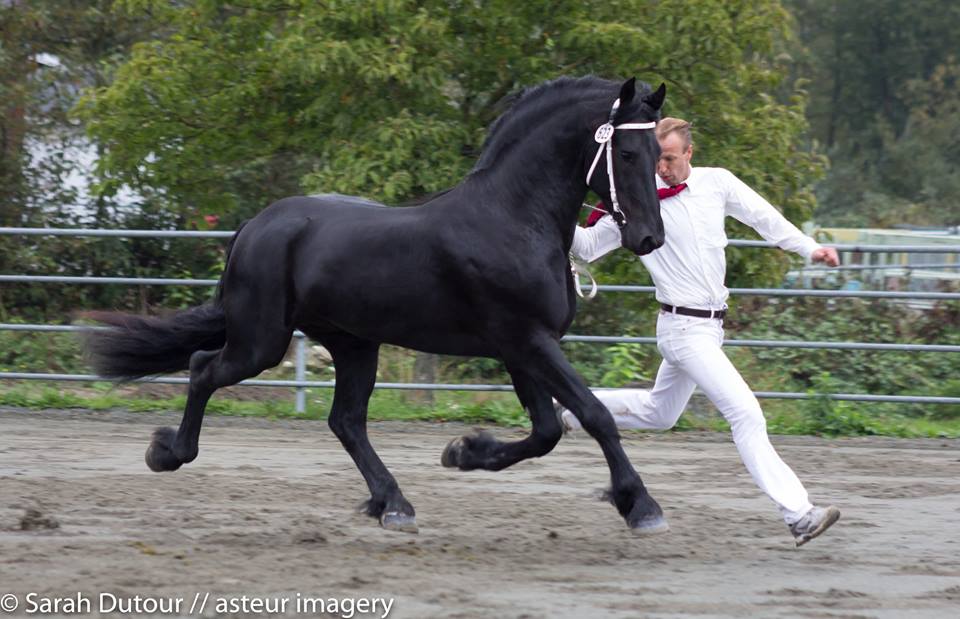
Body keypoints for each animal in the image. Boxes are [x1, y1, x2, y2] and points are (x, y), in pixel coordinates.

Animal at [82, 76, 668, 532]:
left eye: (660, 155)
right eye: (627, 153)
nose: (649, 238)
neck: (512, 219)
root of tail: (254, 225)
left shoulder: (524, 348)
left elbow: (547, 431)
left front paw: (463, 452)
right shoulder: (527, 342)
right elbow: (593, 416)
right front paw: (641, 506)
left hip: (353, 343)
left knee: (345, 421)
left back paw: (393, 503)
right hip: (262, 342)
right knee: (205, 368)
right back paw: (167, 453)